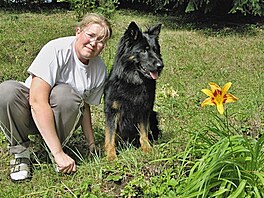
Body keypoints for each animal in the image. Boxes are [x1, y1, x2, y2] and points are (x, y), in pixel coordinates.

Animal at [104, 22, 164, 161]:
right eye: (143, 50)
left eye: (156, 50)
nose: (161, 66)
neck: (132, 81)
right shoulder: (112, 111)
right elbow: (110, 136)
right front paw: (111, 155)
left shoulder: (145, 110)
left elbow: (143, 132)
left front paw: (147, 148)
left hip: (153, 114)